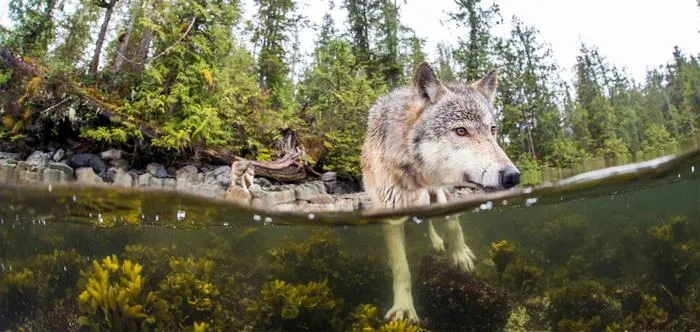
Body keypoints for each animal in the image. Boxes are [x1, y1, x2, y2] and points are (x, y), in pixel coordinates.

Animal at [360, 61, 520, 322]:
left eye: (493, 130)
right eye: (461, 131)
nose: (512, 176)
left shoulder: (447, 191)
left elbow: (453, 224)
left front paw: (459, 254)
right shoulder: (391, 213)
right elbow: (401, 268)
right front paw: (404, 307)